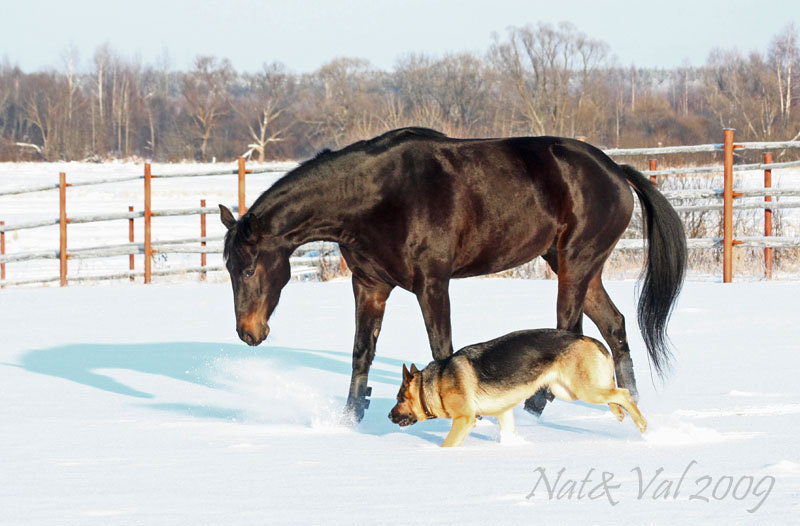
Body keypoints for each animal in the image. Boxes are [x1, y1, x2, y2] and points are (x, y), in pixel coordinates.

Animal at [219, 128, 688, 424]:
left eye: (249, 266)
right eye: (226, 267)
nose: (248, 333)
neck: (378, 196)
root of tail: (617, 171)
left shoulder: (432, 284)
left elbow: (441, 348)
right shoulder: (370, 286)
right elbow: (361, 352)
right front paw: (351, 416)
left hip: (575, 263)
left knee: (570, 328)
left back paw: (534, 407)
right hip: (576, 266)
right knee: (614, 327)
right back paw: (630, 400)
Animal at [390, 330, 648, 450]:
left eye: (399, 398)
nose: (389, 416)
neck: (437, 380)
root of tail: (591, 339)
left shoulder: (464, 420)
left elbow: (448, 445)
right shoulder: (504, 412)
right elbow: (509, 433)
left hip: (584, 391)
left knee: (623, 394)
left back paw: (644, 429)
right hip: (569, 391)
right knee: (614, 395)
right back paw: (620, 416)